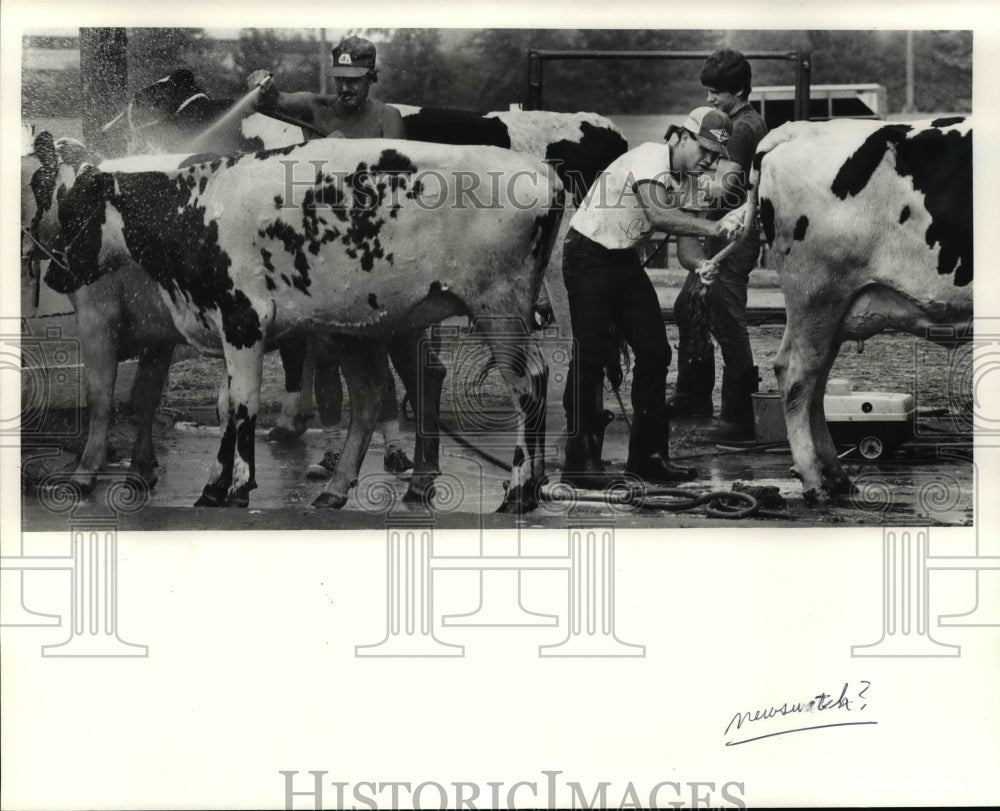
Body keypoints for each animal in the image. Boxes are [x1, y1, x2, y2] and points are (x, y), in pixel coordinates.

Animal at [29, 136, 564, 510]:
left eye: (75, 214)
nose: (52, 273)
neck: (197, 209)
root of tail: (541, 172)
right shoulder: (224, 328)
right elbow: (226, 407)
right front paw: (214, 487)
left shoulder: (243, 323)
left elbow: (243, 408)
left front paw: (238, 487)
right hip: (366, 326)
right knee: (376, 395)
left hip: (499, 311)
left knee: (527, 384)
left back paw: (517, 490)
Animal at [736, 118, 968, 504]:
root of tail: (796, 129)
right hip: (817, 296)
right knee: (798, 376)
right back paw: (814, 481)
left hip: (829, 311)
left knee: (813, 383)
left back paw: (837, 478)